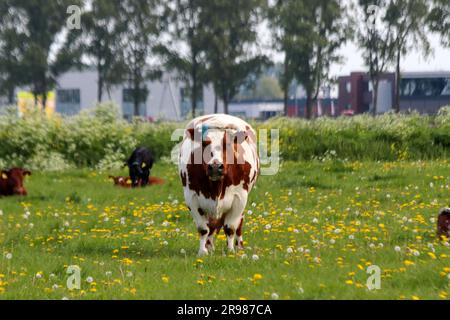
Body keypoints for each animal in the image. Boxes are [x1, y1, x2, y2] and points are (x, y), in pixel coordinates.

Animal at [178, 114, 258, 256]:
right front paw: (203, 251)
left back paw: (239, 246)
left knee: (238, 223)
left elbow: (230, 227)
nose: (215, 167)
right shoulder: (191, 198)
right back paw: (209, 246)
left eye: (228, 144)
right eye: (204, 143)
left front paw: (231, 250)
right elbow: (203, 228)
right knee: (211, 225)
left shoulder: (240, 197)